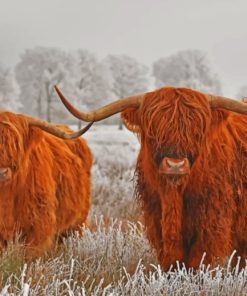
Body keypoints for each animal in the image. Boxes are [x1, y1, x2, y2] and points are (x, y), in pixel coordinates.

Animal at [54, 85, 247, 270]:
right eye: (154, 129)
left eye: (197, 131)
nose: (175, 165)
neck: (173, 196)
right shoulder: (156, 221)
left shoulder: (210, 228)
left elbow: (197, 263)